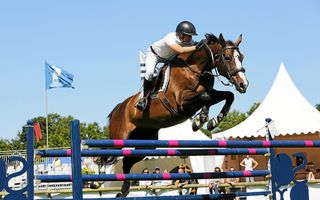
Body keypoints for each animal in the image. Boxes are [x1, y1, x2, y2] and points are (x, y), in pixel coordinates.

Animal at [107, 33, 248, 197]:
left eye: (241, 57)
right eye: (227, 57)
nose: (244, 84)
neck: (195, 68)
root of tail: (118, 108)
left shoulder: (208, 94)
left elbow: (227, 95)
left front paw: (213, 121)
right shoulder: (181, 101)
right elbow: (205, 96)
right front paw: (200, 121)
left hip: (146, 141)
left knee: (128, 162)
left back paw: (124, 190)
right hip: (119, 139)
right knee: (110, 158)